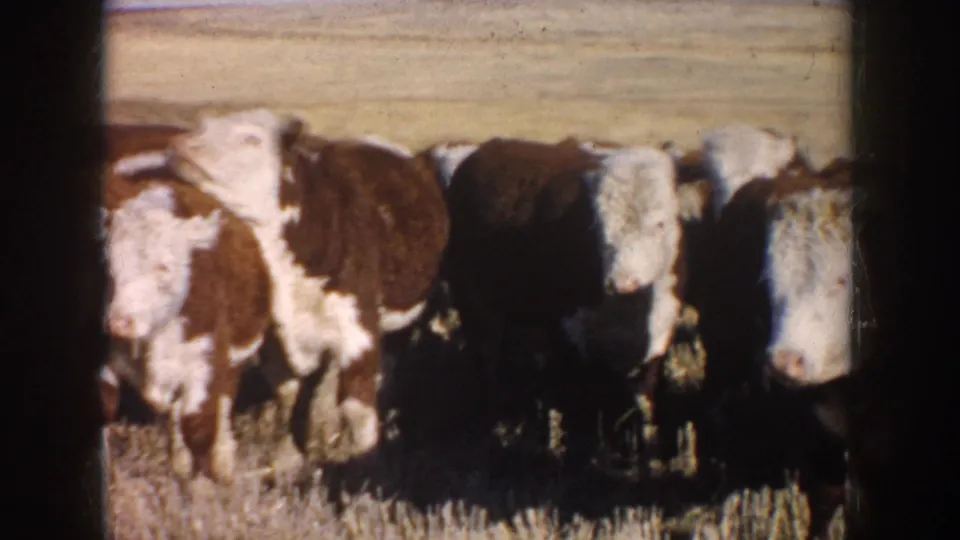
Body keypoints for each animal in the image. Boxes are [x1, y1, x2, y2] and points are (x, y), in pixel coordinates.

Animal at [99, 173, 272, 485]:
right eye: (109, 266)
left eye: (163, 267)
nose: (120, 321)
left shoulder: (204, 363)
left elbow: (199, 426)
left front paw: (200, 488)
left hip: (233, 361)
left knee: (221, 405)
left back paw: (222, 462)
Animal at [164, 108, 450, 474]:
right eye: (203, 126)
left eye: (251, 138)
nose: (182, 144)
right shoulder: (275, 340)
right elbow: (288, 393)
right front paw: (291, 453)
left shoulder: (358, 327)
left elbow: (357, 408)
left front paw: (367, 464)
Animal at [442, 135, 687, 466]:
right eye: (597, 227)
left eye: (660, 224)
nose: (622, 283)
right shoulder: (567, 334)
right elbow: (577, 400)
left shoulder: (658, 336)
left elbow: (643, 401)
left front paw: (647, 454)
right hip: (475, 302)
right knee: (486, 361)